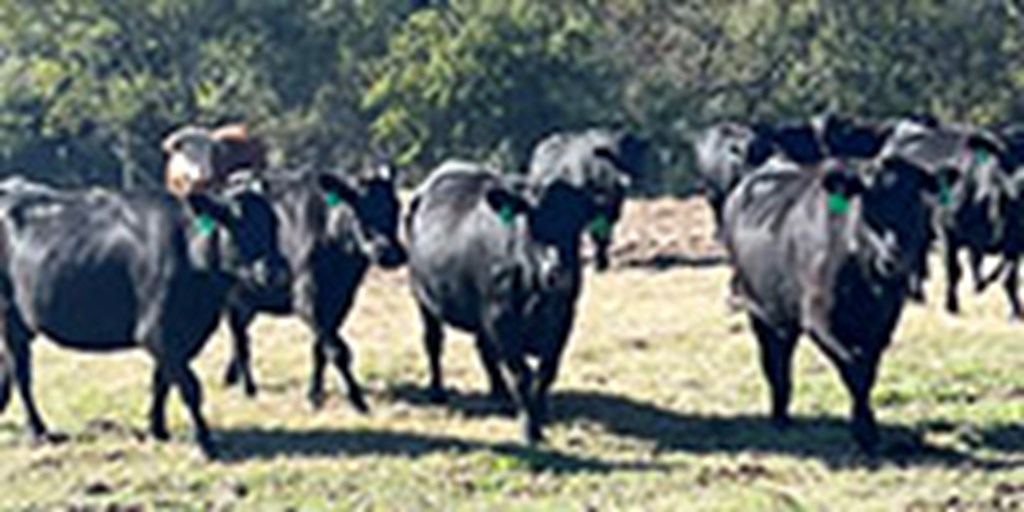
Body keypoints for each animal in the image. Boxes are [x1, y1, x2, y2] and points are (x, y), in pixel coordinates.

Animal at [405, 159, 598, 444]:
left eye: (579, 223)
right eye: (532, 219)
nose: (558, 273)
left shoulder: (564, 317)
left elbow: (546, 372)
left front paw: (540, 413)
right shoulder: (501, 319)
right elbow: (522, 375)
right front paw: (530, 429)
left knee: (483, 348)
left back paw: (499, 392)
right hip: (423, 297)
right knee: (433, 342)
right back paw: (437, 391)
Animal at [720, 156, 950, 452]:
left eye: (915, 202)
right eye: (867, 203)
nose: (894, 259)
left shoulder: (883, 322)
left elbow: (869, 369)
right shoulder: (819, 319)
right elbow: (854, 367)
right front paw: (865, 431)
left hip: (784, 316)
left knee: (782, 356)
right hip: (757, 307)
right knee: (772, 361)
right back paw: (779, 417)